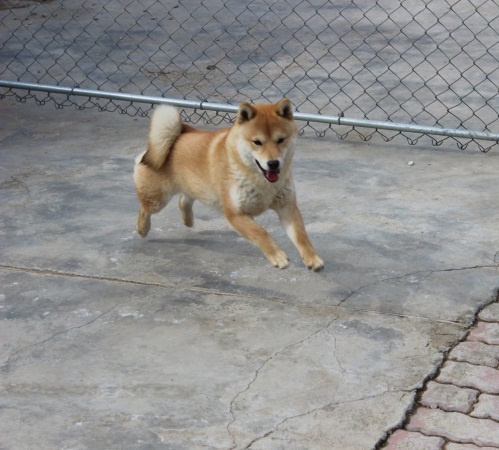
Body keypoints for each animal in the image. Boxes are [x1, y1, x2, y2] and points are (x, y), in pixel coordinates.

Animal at [135, 99, 326, 270]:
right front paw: (277, 255)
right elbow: (261, 233)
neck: (259, 180)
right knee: (145, 209)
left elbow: (301, 235)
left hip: (195, 186)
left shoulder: (287, 207)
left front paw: (312, 257)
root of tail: (180, 133)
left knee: (184, 200)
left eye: (281, 140)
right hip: (157, 198)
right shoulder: (236, 214)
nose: (273, 163)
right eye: (257, 142)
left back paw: (187, 220)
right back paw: (143, 229)